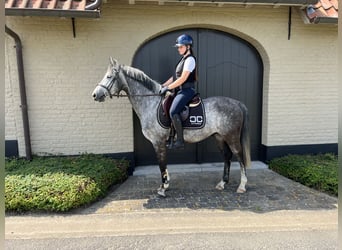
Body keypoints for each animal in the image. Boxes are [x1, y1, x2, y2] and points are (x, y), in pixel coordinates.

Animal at [91, 58, 251, 197]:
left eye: (109, 76)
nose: (95, 95)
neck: (151, 103)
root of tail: (238, 103)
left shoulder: (158, 142)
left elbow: (161, 164)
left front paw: (163, 188)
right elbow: (164, 165)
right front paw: (165, 185)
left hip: (232, 137)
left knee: (239, 157)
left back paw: (242, 186)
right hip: (219, 137)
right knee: (227, 157)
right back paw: (222, 183)